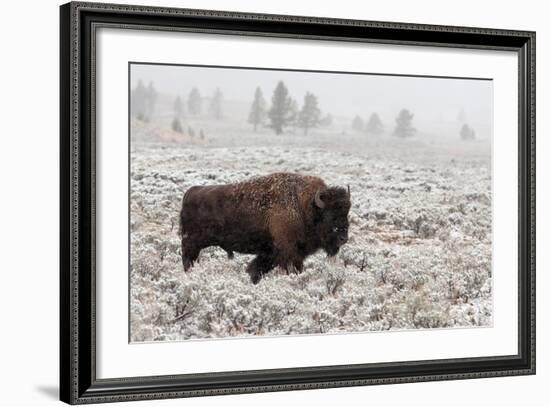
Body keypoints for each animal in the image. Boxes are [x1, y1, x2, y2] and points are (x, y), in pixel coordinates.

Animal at [181, 172, 354, 284]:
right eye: (330, 214)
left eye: (346, 213)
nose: (343, 238)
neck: (304, 206)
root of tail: (190, 193)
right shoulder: (289, 253)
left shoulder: (271, 254)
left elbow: (256, 269)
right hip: (192, 244)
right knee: (187, 260)